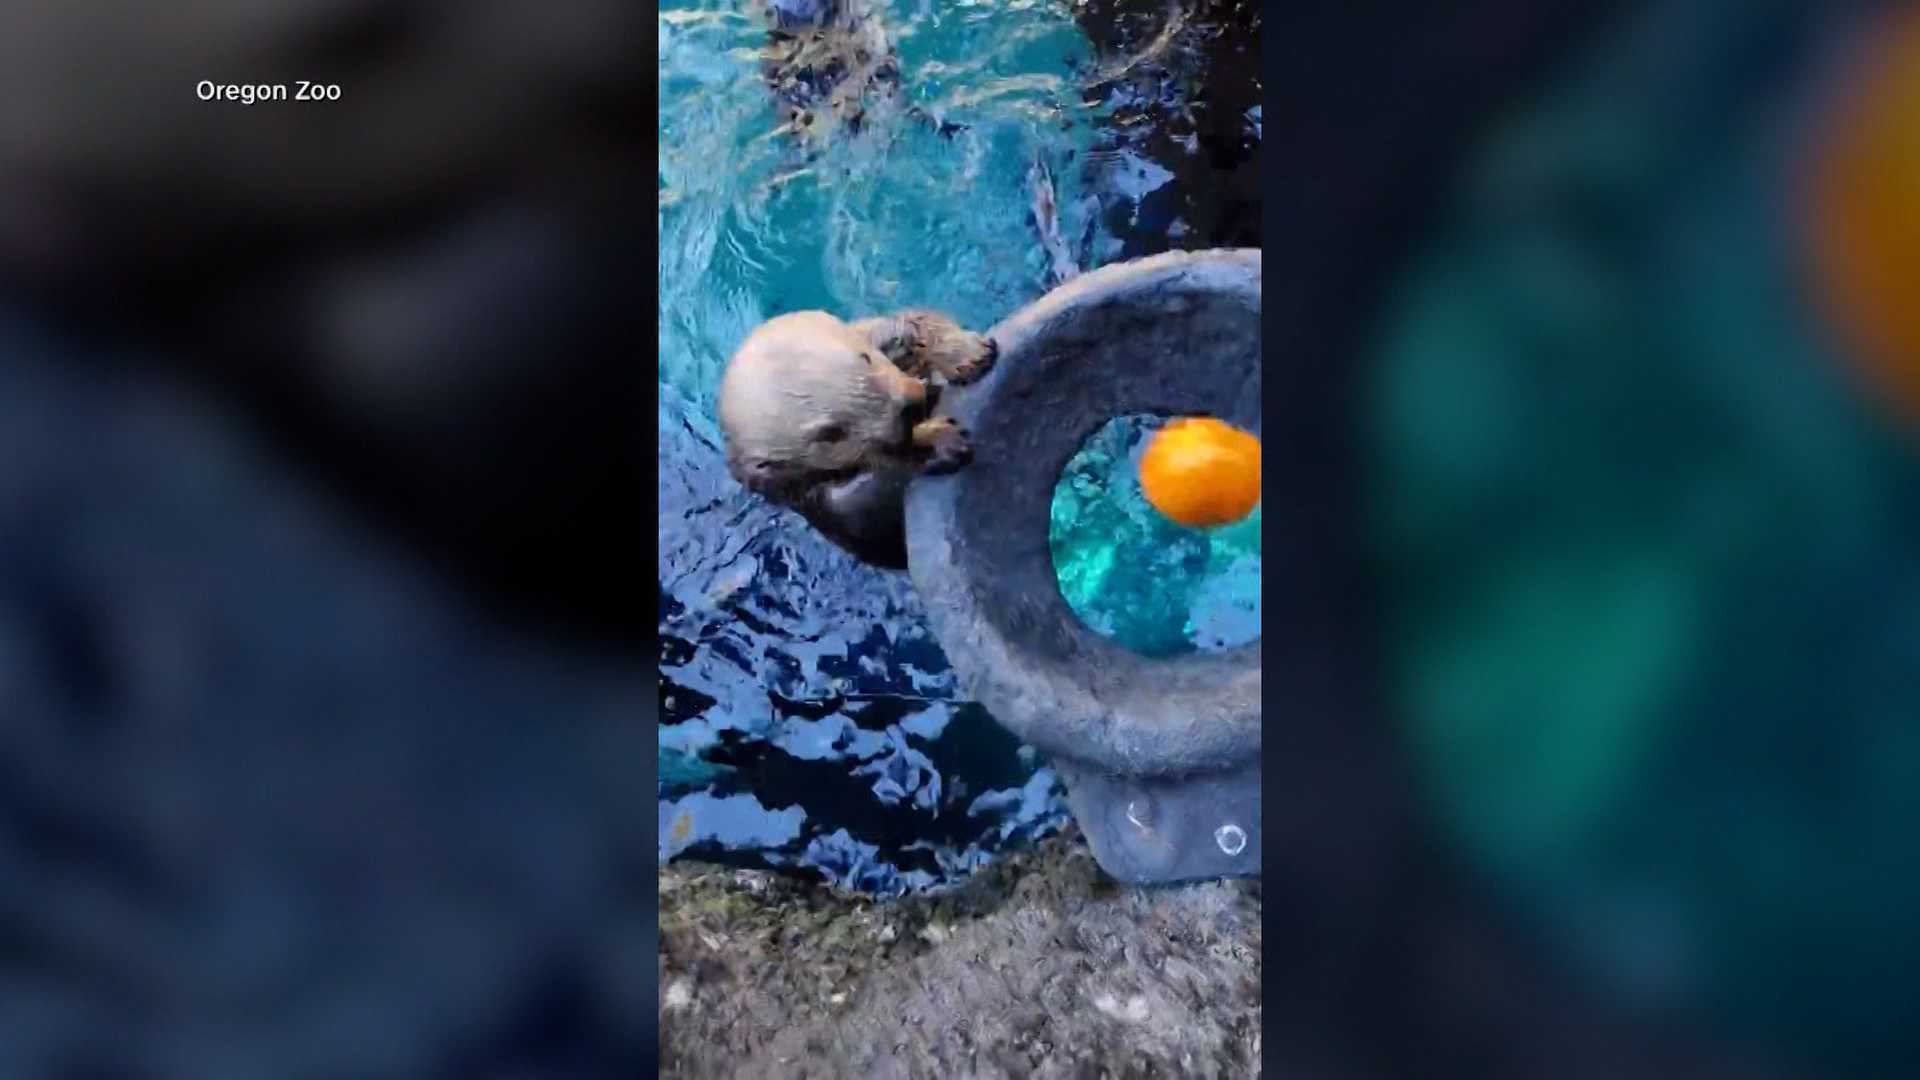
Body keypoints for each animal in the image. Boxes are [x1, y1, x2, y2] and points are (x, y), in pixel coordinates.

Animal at [718, 309, 997, 568]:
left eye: (865, 358)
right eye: (830, 433)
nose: (906, 406)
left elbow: (912, 321)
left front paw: (966, 353)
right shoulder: (824, 501)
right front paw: (937, 440)